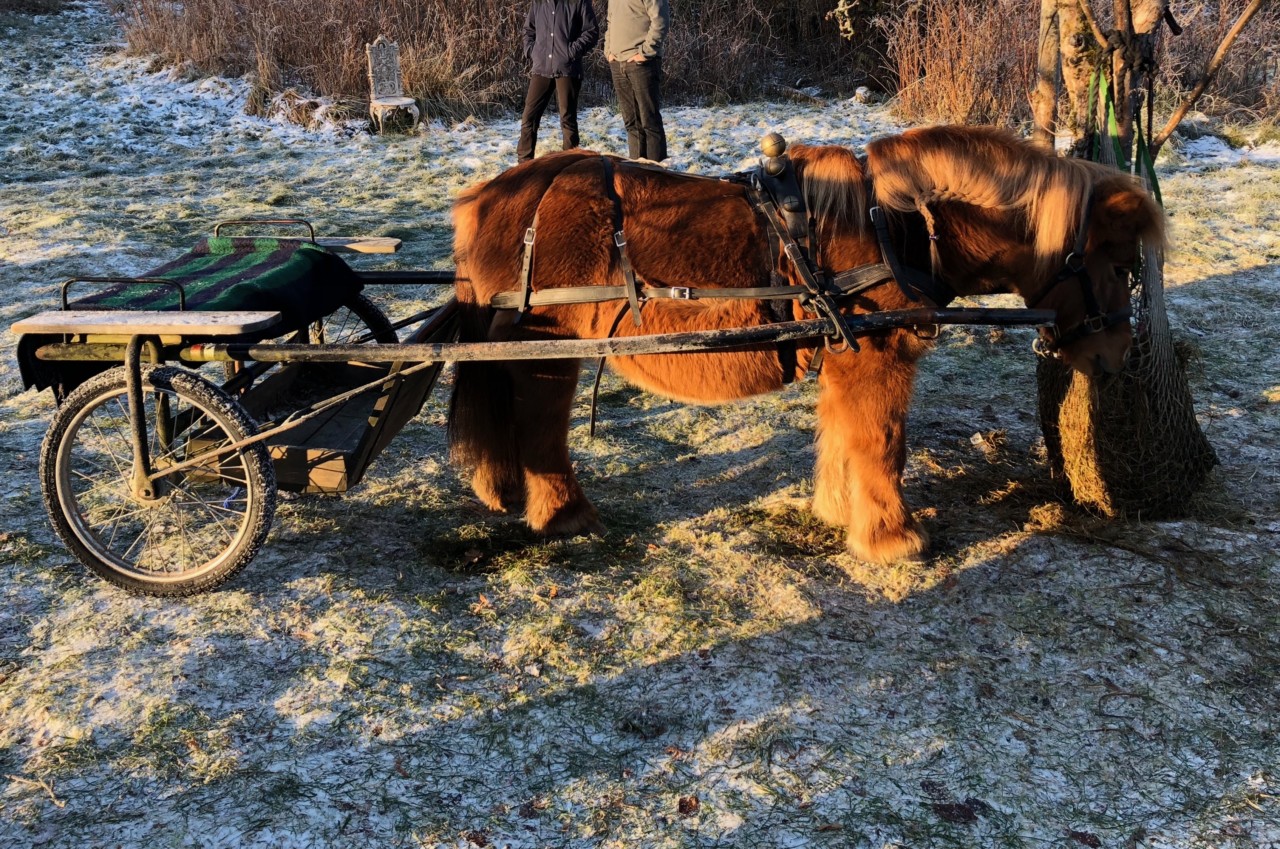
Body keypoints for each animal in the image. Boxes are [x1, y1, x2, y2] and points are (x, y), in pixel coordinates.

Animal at [445, 126, 1167, 563]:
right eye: (1115, 264)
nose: (1117, 355)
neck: (897, 223)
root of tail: (490, 195)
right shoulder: (879, 356)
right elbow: (882, 441)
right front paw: (892, 535)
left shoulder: (847, 357)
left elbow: (844, 434)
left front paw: (841, 510)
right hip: (545, 354)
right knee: (540, 428)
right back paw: (564, 513)